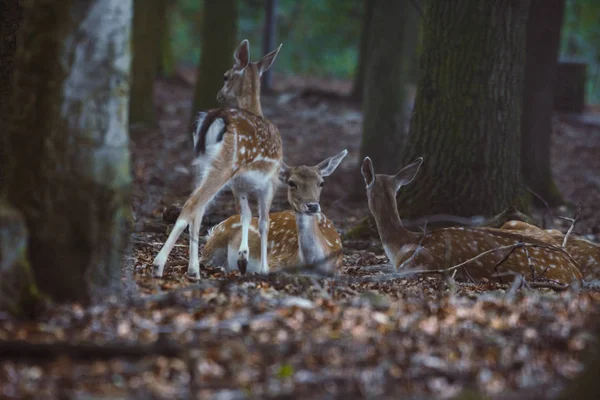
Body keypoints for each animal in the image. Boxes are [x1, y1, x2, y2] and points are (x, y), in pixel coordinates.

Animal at [155, 39, 286, 280]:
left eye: (225, 76)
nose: (219, 94)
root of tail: (215, 117)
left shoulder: (238, 183)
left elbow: (246, 215)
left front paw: (243, 258)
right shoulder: (271, 180)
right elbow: (264, 221)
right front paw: (263, 269)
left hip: (203, 165)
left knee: (198, 211)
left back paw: (194, 269)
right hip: (225, 165)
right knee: (192, 205)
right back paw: (159, 265)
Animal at [202, 150, 346, 276]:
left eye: (321, 183)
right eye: (291, 183)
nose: (312, 206)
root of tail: (215, 228)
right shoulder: (275, 261)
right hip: (214, 245)